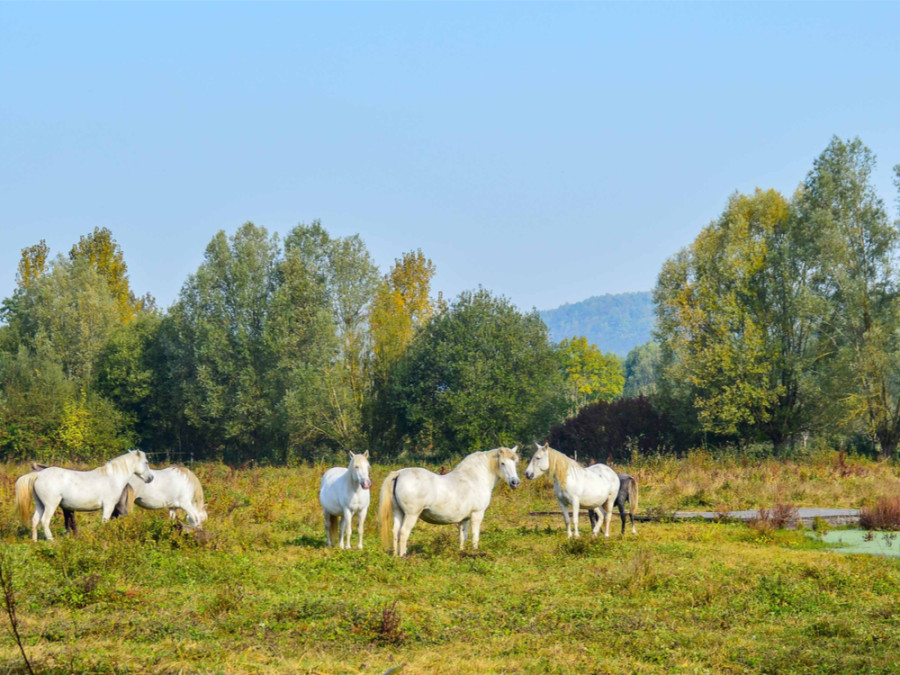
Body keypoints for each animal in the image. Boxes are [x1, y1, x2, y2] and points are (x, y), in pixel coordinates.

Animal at [18, 448, 153, 544]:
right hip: (50, 505)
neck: (112, 477)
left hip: (40, 505)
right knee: (45, 521)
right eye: (146, 462)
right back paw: (51, 539)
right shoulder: (108, 506)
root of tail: (38, 475)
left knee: (35, 520)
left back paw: (35, 541)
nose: (150, 478)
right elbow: (104, 521)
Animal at [378, 446, 520, 556]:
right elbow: (475, 535)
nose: (515, 482)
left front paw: (462, 552)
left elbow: (463, 536)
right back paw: (403, 556)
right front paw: (475, 552)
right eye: (503, 463)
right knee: (403, 533)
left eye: (515, 462)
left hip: (398, 513)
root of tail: (399, 473)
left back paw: (395, 556)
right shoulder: (477, 514)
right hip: (411, 515)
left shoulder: (464, 519)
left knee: (395, 532)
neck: (474, 478)